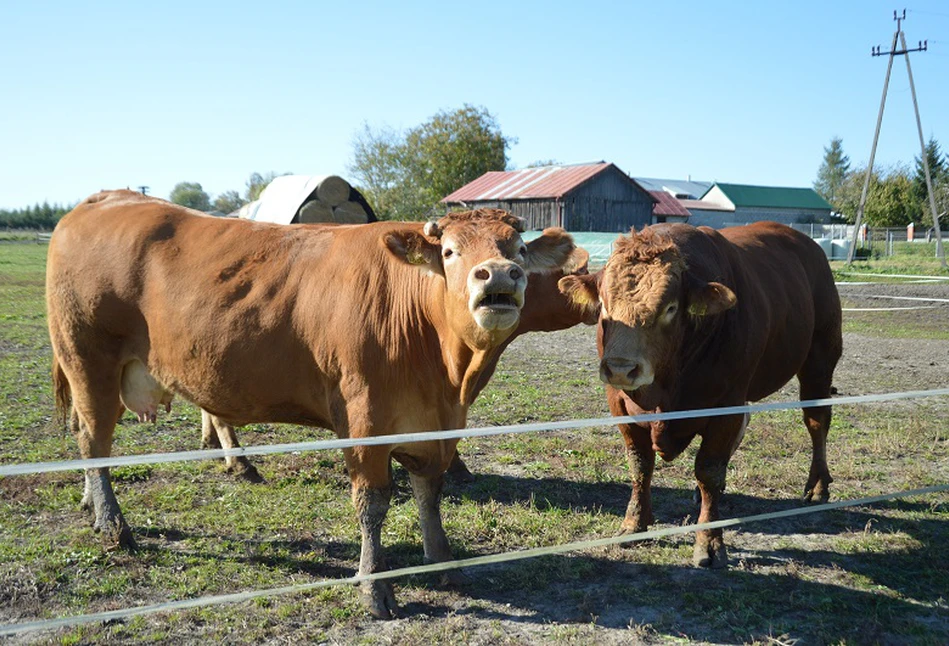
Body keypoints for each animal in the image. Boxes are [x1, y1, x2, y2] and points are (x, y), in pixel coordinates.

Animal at [46, 190, 572, 620]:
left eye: (519, 250)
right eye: (449, 252)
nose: (499, 274)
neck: (446, 376)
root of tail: (104, 199)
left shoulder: (433, 428)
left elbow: (429, 494)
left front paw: (442, 562)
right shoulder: (364, 421)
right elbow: (372, 504)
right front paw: (374, 588)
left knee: (88, 440)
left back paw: (93, 504)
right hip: (88, 360)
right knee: (94, 440)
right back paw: (113, 524)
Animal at [560, 225, 840, 568]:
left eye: (670, 308)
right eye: (603, 303)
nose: (621, 368)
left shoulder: (726, 404)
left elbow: (709, 469)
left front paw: (709, 541)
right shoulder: (619, 404)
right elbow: (640, 464)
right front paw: (635, 523)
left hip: (820, 358)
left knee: (817, 421)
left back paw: (818, 485)